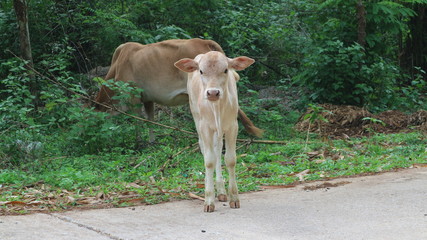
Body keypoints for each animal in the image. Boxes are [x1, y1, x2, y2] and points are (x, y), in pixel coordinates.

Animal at [94, 38, 262, 142]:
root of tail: (204, 42)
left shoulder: (132, 95)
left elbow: (138, 121)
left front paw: (139, 143)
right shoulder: (148, 99)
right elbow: (150, 120)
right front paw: (151, 142)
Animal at [176, 50, 256, 212]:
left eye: (225, 70)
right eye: (201, 71)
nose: (213, 93)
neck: (217, 107)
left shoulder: (232, 126)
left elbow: (230, 160)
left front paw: (234, 198)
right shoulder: (205, 127)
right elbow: (209, 161)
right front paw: (208, 200)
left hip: (219, 131)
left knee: (218, 149)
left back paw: (221, 191)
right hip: (197, 118)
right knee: (206, 149)